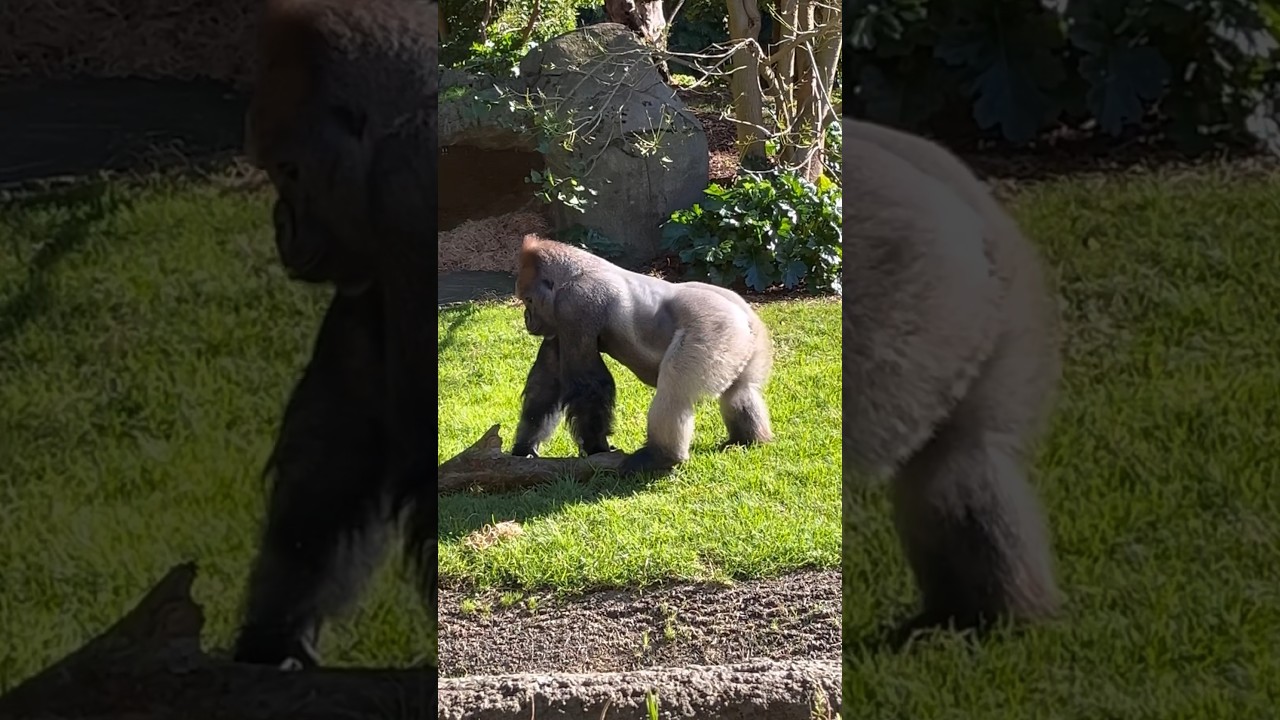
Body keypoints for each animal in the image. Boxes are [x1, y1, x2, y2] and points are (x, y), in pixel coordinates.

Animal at [511, 235, 774, 476]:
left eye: (529, 300)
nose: (527, 319)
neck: (575, 273)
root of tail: (744, 314)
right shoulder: (558, 322)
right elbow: (546, 385)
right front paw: (524, 448)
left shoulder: (575, 304)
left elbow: (588, 384)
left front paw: (597, 449)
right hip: (750, 339)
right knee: (740, 390)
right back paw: (747, 439)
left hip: (714, 328)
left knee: (674, 393)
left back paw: (661, 455)